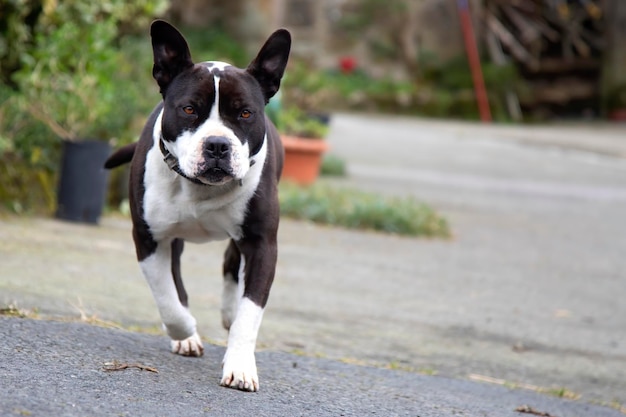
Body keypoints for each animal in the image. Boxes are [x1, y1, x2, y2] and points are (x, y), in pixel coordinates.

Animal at [105, 19, 290, 390]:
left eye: (245, 113)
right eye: (189, 109)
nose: (217, 144)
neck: (201, 188)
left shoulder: (262, 244)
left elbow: (250, 312)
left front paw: (240, 366)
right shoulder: (149, 238)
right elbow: (166, 295)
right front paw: (185, 330)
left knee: (232, 265)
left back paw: (229, 312)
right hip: (172, 239)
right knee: (177, 279)